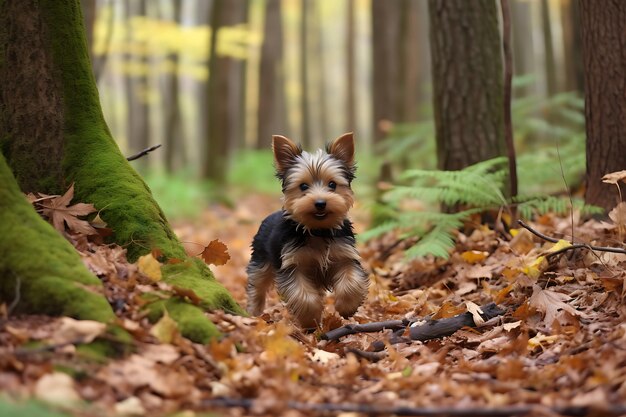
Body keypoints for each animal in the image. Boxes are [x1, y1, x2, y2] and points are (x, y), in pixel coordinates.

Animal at [245, 132, 370, 326]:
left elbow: (351, 281)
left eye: (332, 184)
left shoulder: (345, 255)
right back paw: (254, 313)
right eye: (303, 186)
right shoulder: (292, 264)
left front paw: (347, 307)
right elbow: (302, 295)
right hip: (260, 257)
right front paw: (310, 319)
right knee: (257, 285)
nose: (320, 203)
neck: (318, 230)